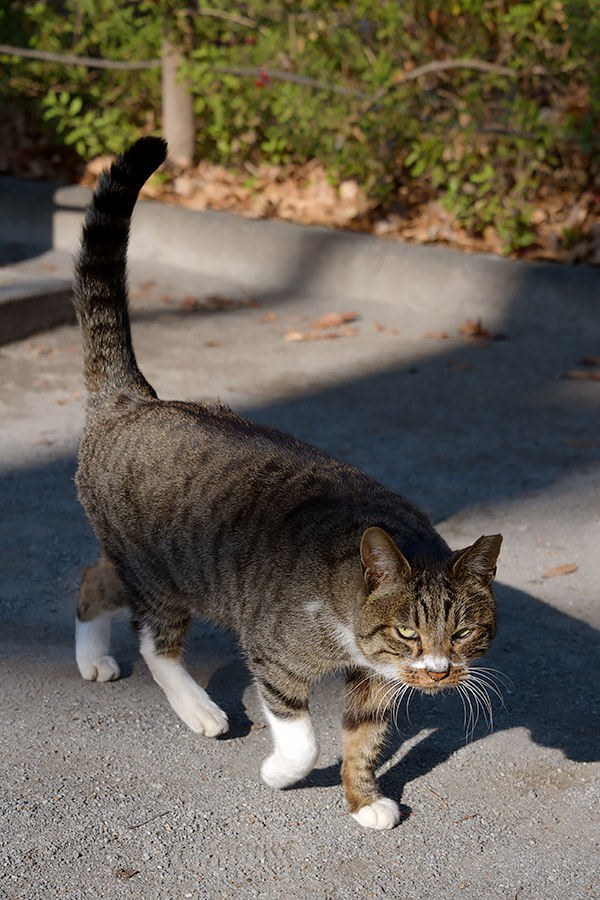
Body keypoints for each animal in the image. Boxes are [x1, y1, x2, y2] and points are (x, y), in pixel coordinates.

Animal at [71, 137, 502, 832]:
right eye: (410, 633)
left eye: (462, 633)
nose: (439, 674)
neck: (351, 615)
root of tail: (131, 399)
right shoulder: (275, 653)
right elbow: (303, 738)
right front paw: (281, 774)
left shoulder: (376, 681)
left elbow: (363, 738)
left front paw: (364, 802)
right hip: (165, 573)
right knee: (155, 641)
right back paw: (200, 709)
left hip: (148, 564)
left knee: (93, 577)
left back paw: (92, 656)